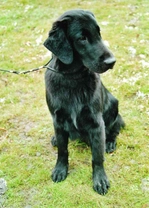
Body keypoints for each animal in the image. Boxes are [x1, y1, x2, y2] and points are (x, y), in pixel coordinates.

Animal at [43, 9, 124, 195]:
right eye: (82, 38)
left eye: (99, 33)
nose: (112, 62)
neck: (72, 79)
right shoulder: (57, 120)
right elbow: (63, 150)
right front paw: (60, 170)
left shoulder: (96, 123)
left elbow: (97, 157)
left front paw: (100, 179)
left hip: (114, 107)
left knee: (114, 129)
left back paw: (110, 142)